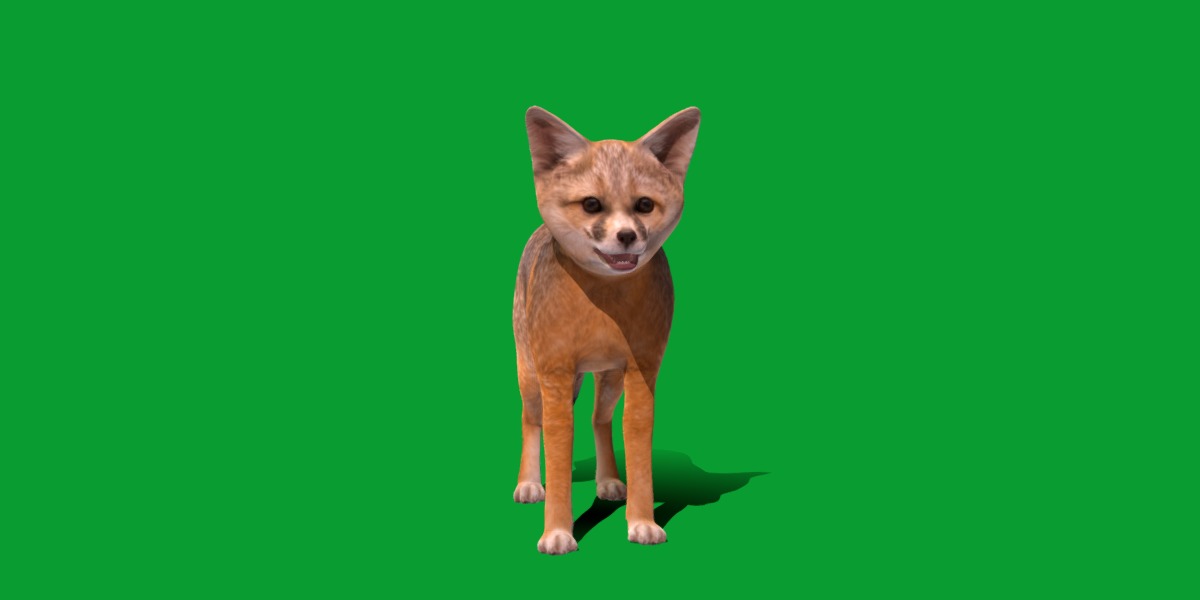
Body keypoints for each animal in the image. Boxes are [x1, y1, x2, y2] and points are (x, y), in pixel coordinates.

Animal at [512, 106, 701, 554]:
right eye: (592, 204)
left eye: (644, 205)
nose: (627, 236)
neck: (603, 307)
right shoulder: (556, 376)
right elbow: (557, 456)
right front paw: (557, 532)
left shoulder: (643, 372)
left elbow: (638, 452)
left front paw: (642, 522)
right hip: (530, 378)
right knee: (531, 422)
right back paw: (528, 484)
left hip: (611, 380)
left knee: (600, 420)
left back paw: (609, 481)